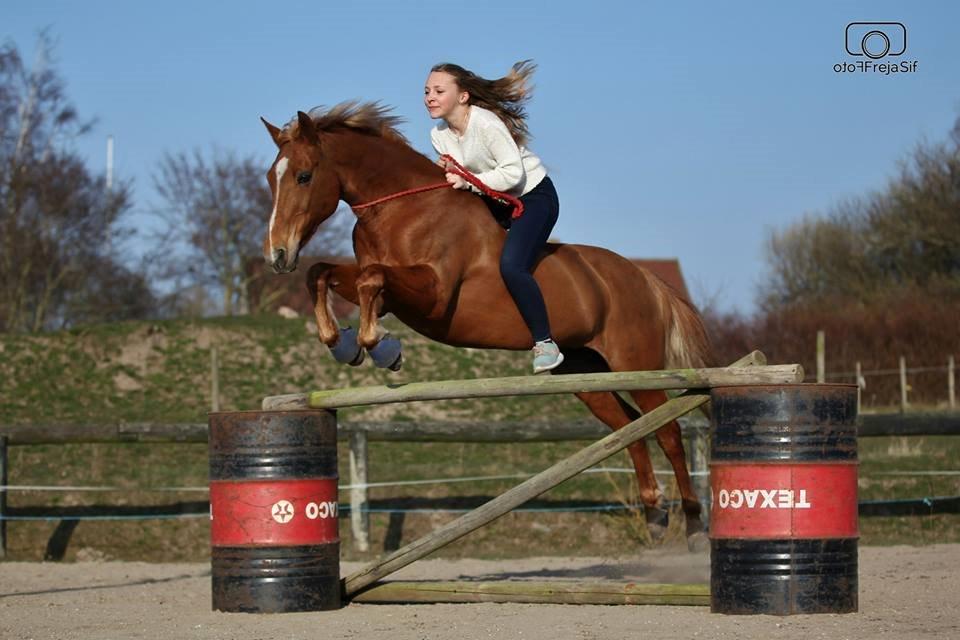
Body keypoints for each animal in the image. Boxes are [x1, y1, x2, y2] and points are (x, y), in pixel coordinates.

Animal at [260, 102, 712, 548]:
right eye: (269, 178)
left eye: (304, 175)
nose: (278, 255)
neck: (400, 210)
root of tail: (645, 279)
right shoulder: (388, 293)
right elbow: (322, 274)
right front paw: (344, 344)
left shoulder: (433, 294)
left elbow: (371, 280)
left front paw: (382, 348)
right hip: (586, 374)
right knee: (631, 427)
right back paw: (655, 514)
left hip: (637, 366)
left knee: (669, 432)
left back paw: (693, 523)